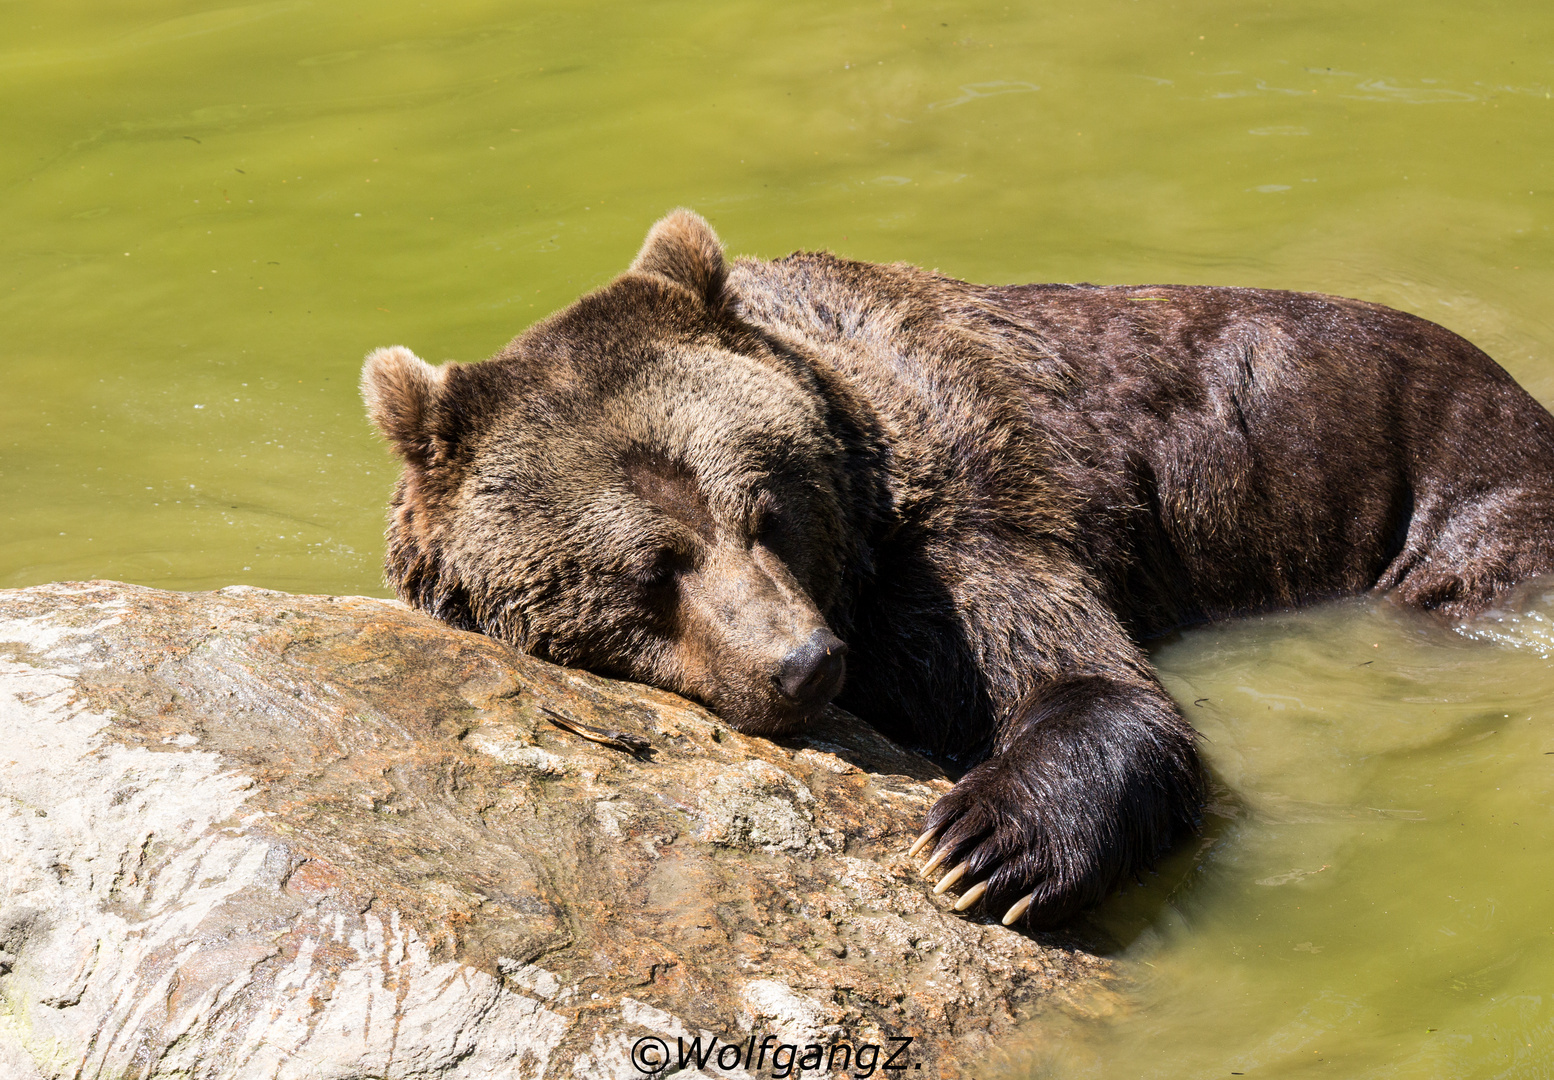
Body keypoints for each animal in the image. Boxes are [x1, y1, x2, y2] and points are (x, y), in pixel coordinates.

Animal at [357, 212, 1554, 932]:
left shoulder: (966, 530)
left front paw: (981, 844)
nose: (802, 662)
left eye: (765, 513)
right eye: (657, 566)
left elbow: (1084, 683)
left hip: (1464, 498)